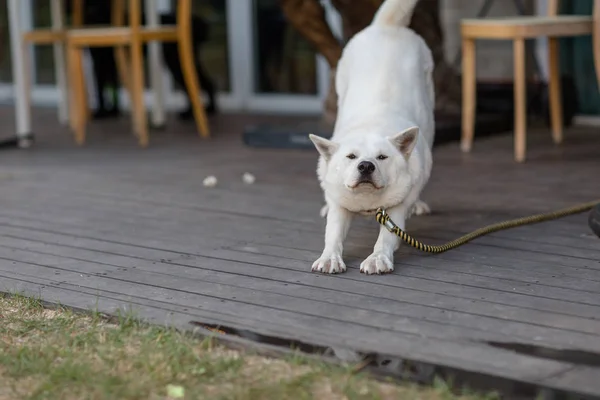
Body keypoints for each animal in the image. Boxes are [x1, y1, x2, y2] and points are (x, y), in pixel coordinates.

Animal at [312, 0, 434, 276]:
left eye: (382, 157)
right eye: (351, 157)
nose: (366, 166)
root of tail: (387, 26)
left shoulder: (397, 206)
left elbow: (387, 237)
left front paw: (378, 258)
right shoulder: (340, 205)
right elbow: (333, 233)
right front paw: (330, 256)